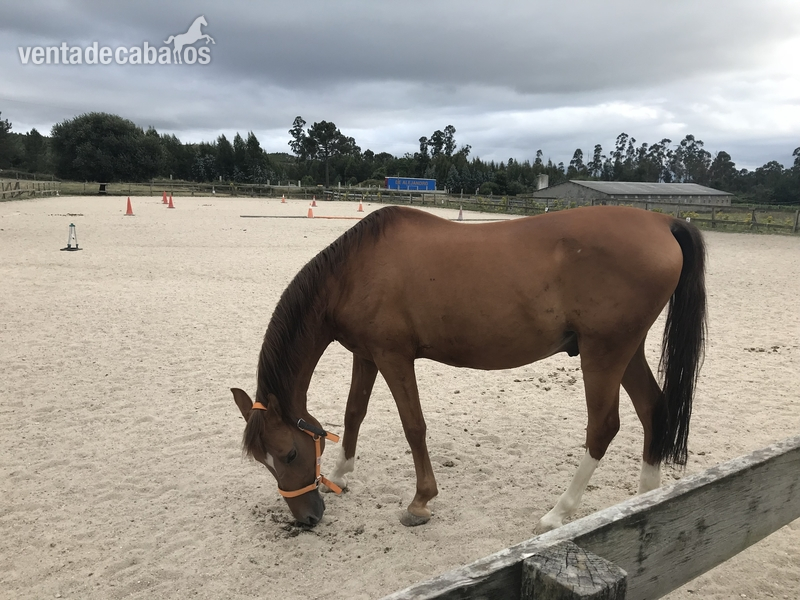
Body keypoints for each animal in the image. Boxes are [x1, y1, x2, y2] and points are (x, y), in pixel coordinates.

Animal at [231, 205, 706, 531]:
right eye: (263, 462)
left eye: (289, 454)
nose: (306, 517)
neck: (354, 271)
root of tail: (663, 222)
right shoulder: (365, 354)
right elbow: (354, 413)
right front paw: (342, 474)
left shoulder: (393, 356)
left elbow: (413, 426)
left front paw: (420, 502)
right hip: (626, 350)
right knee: (653, 409)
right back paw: (640, 503)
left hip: (603, 352)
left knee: (603, 428)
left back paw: (558, 513)